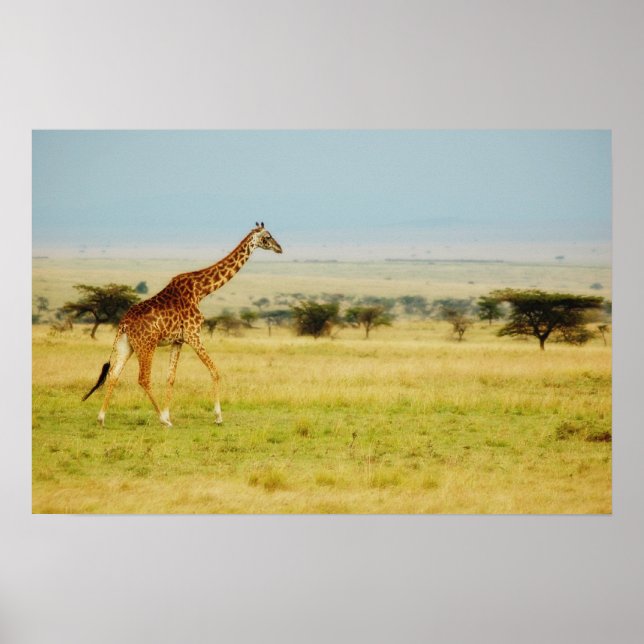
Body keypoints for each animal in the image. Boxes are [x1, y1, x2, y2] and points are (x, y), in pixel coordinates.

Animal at [82, 223, 283, 427]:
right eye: (267, 236)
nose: (279, 248)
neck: (200, 291)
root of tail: (123, 324)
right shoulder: (193, 335)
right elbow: (214, 371)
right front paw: (218, 417)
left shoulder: (178, 340)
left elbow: (171, 377)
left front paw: (168, 413)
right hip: (147, 345)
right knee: (143, 378)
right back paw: (163, 421)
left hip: (127, 345)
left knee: (114, 374)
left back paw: (101, 418)